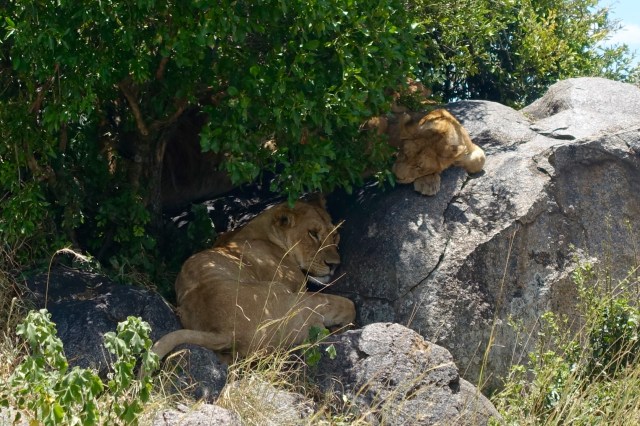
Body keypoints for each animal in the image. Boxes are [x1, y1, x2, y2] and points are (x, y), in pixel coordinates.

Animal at [152, 198, 356, 362]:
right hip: (288, 297)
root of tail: (225, 331)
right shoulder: (297, 287)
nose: (334, 265)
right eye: (312, 233)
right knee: (338, 311)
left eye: (335, 235)